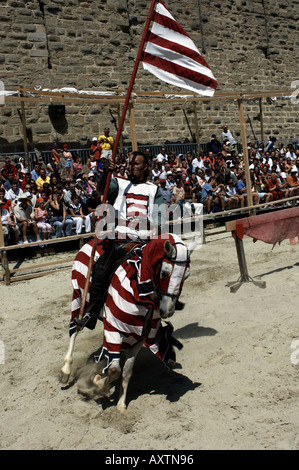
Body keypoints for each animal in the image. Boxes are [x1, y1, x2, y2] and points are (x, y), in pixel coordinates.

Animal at [59, 234, 198, 412]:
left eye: (186, 275)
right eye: (165, 272)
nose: (167, 310)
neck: (139, 291)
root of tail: (89, 243)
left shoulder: (139, 336)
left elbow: (126, 371)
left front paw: (121, 403)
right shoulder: (113, 329)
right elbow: (114, 369)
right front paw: (98, 384)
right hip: (78, 297)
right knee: (75, 329)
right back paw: (66, 370)